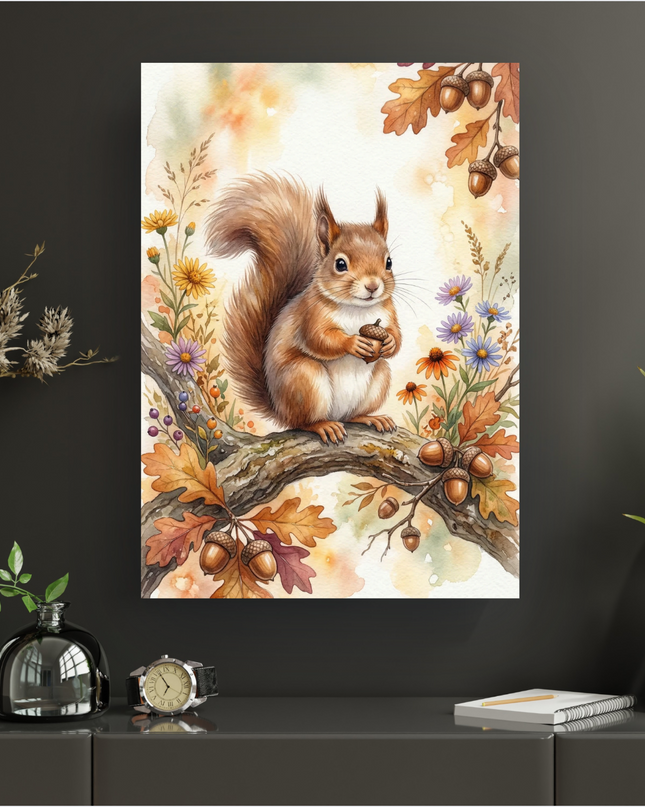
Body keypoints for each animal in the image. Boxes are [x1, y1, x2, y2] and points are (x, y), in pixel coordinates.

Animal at [205, 173, 401, 445]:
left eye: (389, 262)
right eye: (340, 264)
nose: (373, 286)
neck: (357, 309)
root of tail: (279, 409)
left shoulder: (388, 313)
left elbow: (397, 336)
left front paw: (389, 342)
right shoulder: (311, 314)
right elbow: (319, 339)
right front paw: (352, 343)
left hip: (379, 378)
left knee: (354, 412)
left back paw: (371, 418)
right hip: (304, 379)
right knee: (302, 421)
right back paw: (322, 425)